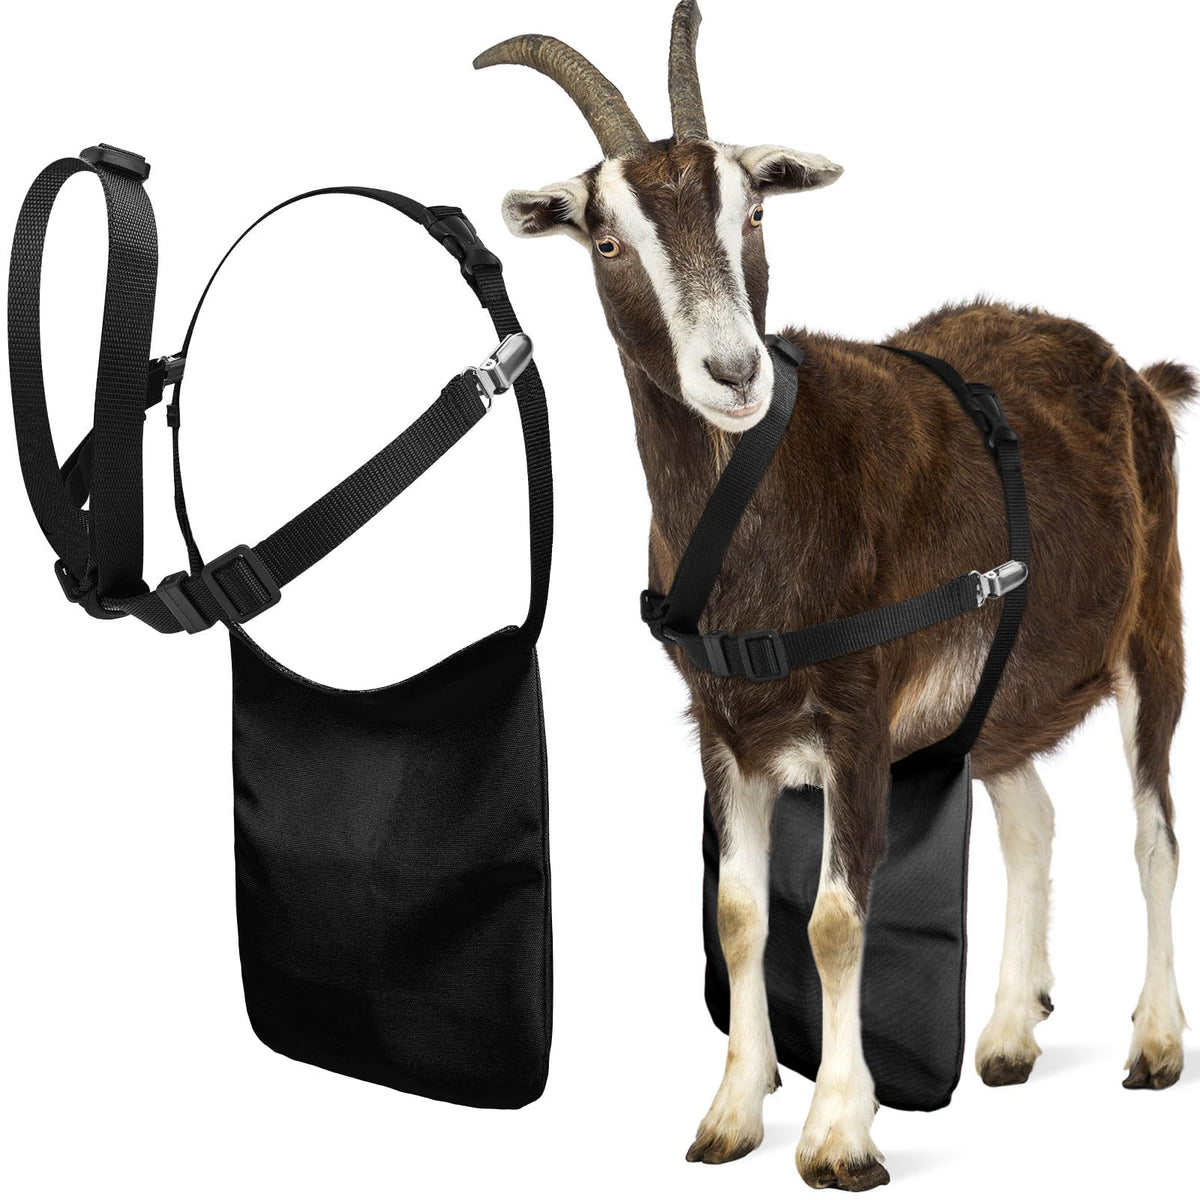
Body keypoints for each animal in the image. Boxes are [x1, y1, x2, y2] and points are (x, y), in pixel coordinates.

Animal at [475, 2, 1193, 1189]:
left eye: (755, 210)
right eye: (609, 239)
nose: (734, 373)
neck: (772, 493)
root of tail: (1132, 371)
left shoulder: (861, 720)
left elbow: (836, 921)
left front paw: (839, 1134)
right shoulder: (722, 729)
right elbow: (737, 915)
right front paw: (732, 1112)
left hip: (1156, 626)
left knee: (1153, 833)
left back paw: (1156, 1042)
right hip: (998, 692)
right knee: (1031, 819)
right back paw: (1007, 1034)